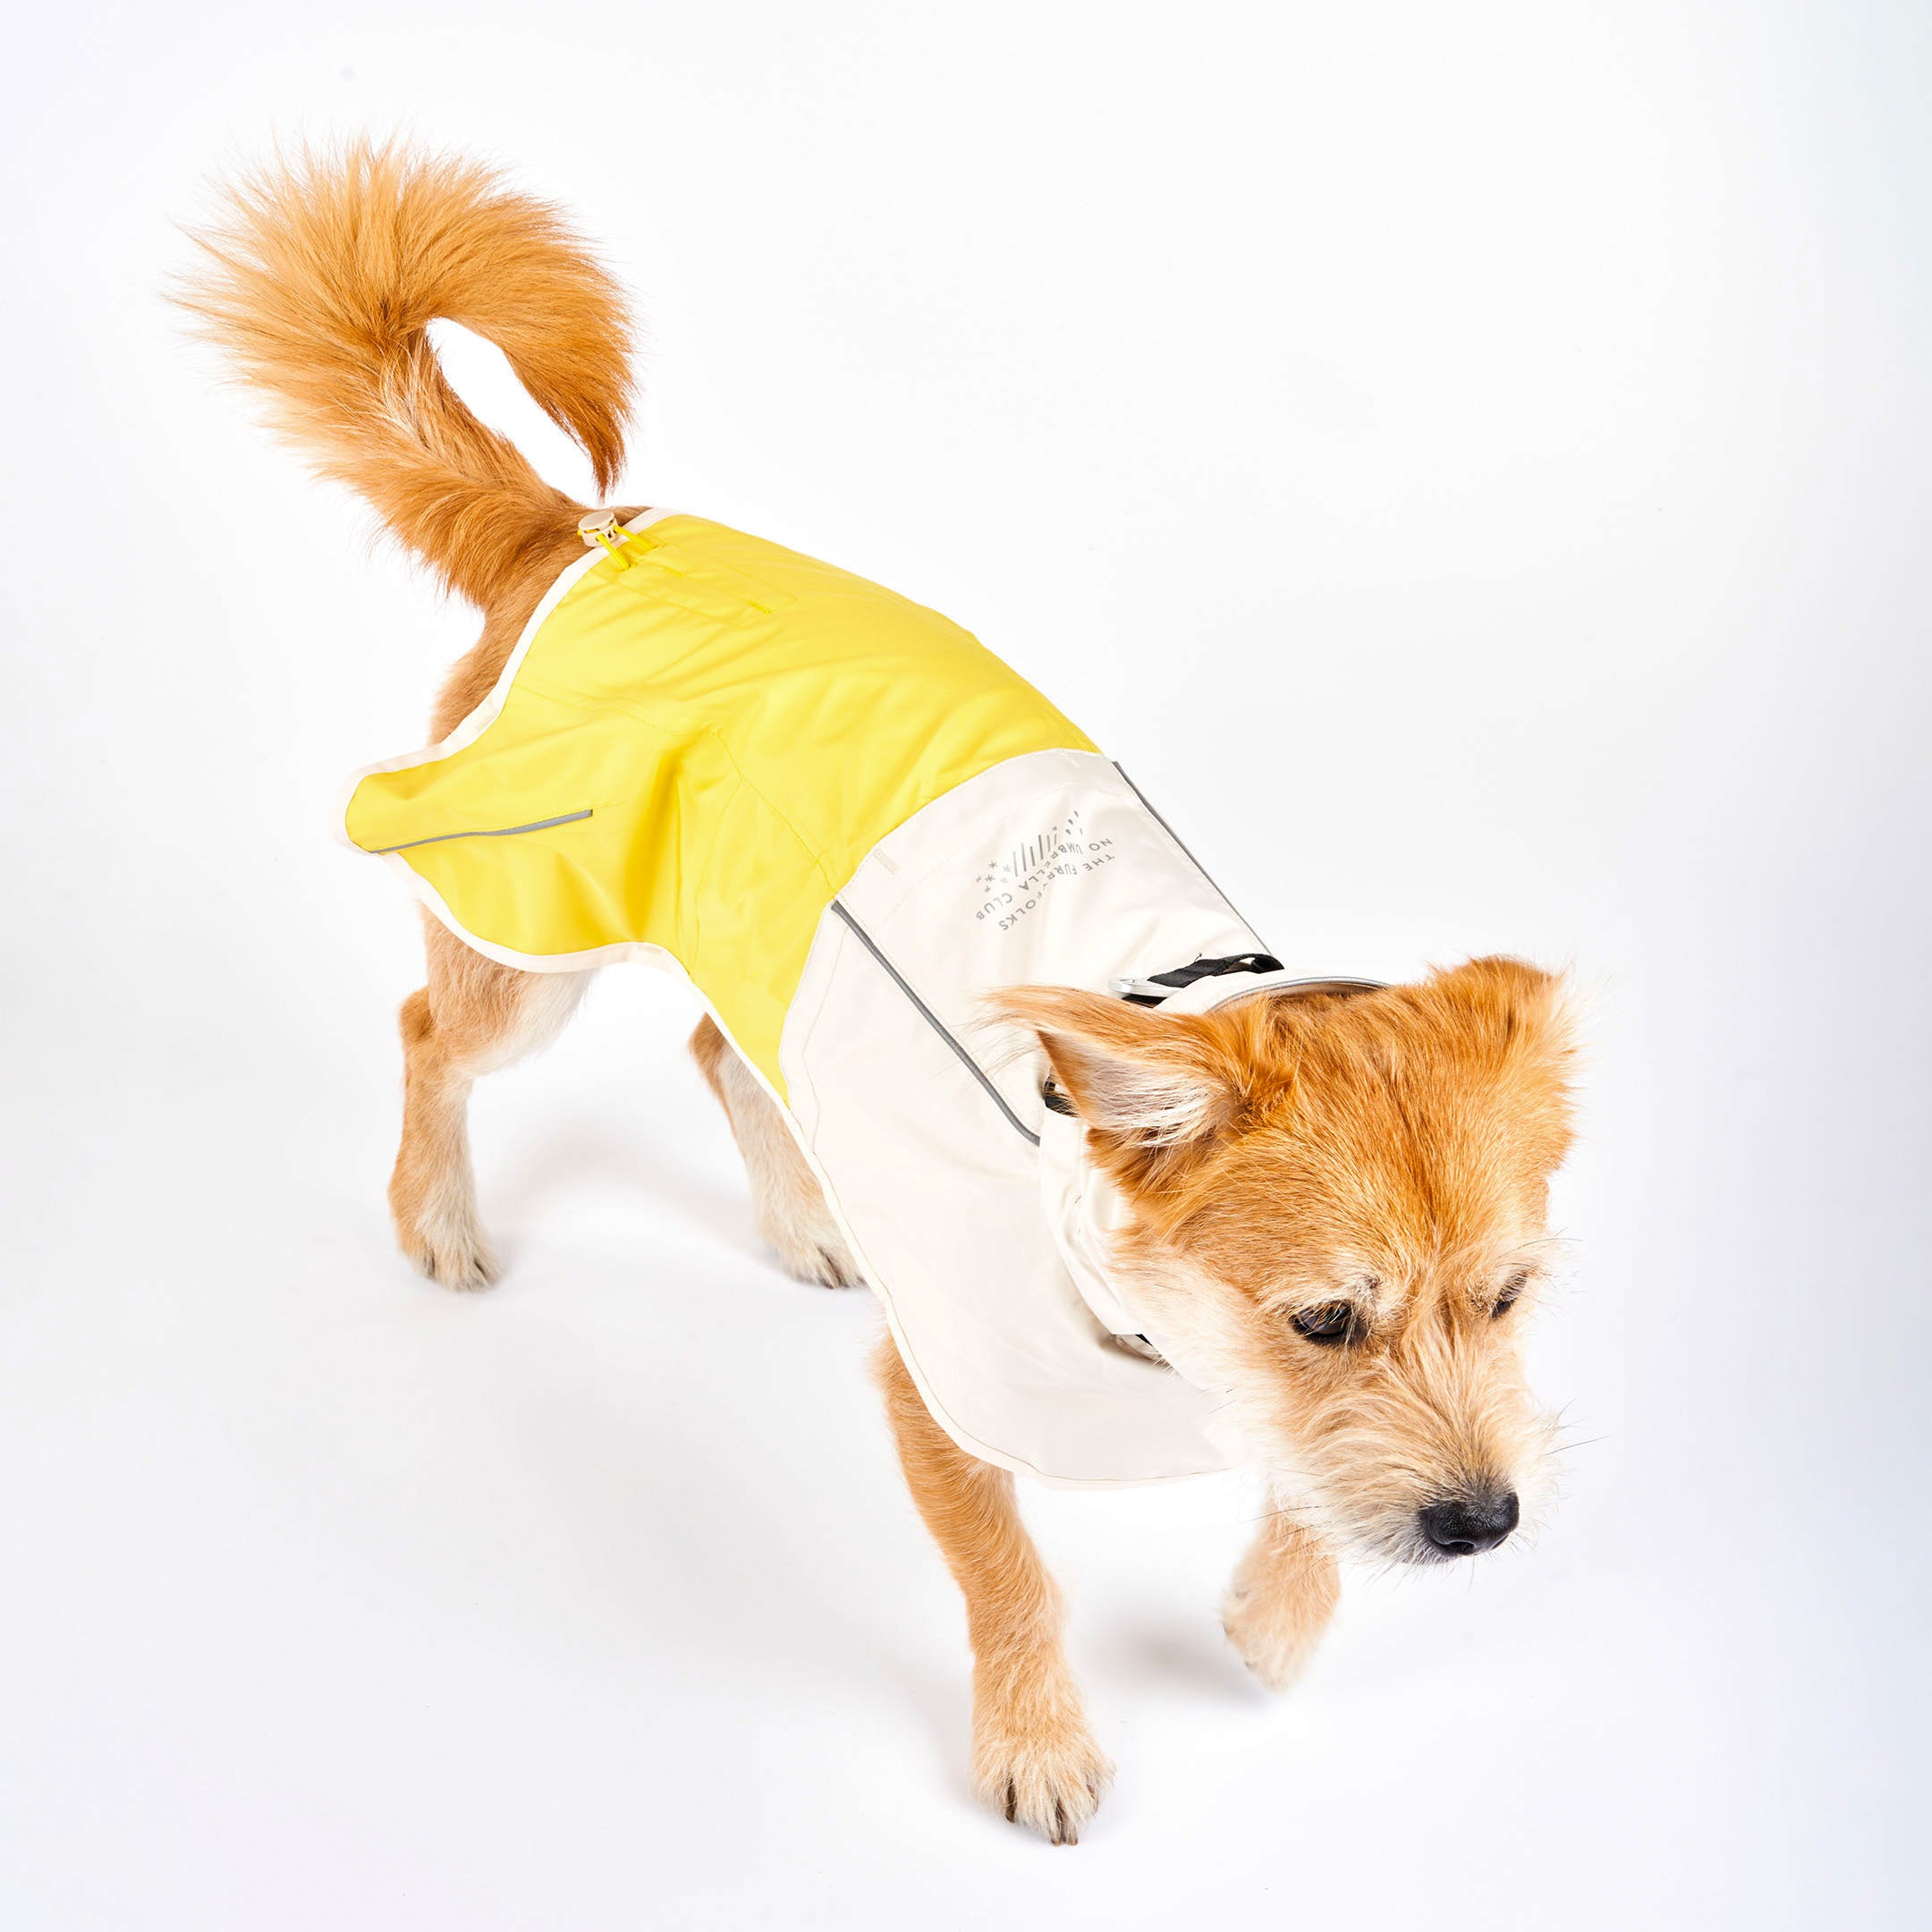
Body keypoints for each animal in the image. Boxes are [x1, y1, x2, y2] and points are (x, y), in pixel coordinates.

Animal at [174, 140, 1576, 1839]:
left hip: (760, 959)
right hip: (528, 942)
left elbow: (1308, 1488)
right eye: (1324, 1319)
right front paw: (1035, 1738)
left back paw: (800, 1218)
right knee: (431, 1034)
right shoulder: (941, 1395)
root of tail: (583, 529)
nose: (1486, 1524)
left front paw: (1278, 1613)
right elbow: (1013, 1575)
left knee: (719, 1046)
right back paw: (436, 1213)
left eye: (1508, 1298)